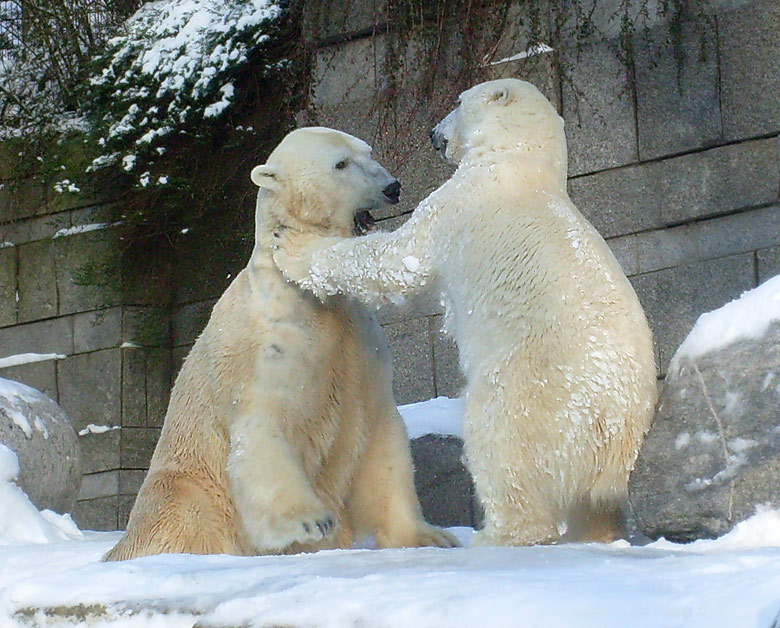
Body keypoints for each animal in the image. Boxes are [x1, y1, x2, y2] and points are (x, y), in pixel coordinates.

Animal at [104, 126, 458, 560]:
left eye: (369, 152)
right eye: (340, 164)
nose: (392, 187)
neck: (306, 292)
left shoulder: (361, 351)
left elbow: (383, 441)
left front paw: (430, 536)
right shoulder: (271, 344)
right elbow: (265, 426)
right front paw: (309, 521)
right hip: (188, 485)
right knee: (184, 513)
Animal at [274, 82, 660, 544]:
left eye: (457, 102)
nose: (431, 133)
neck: (520, 159)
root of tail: (618, 435)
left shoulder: (461, 200)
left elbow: (399, 260)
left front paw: (292, 248)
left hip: (532, 389)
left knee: (500, 449)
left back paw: (498, 535)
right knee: (593, 506)